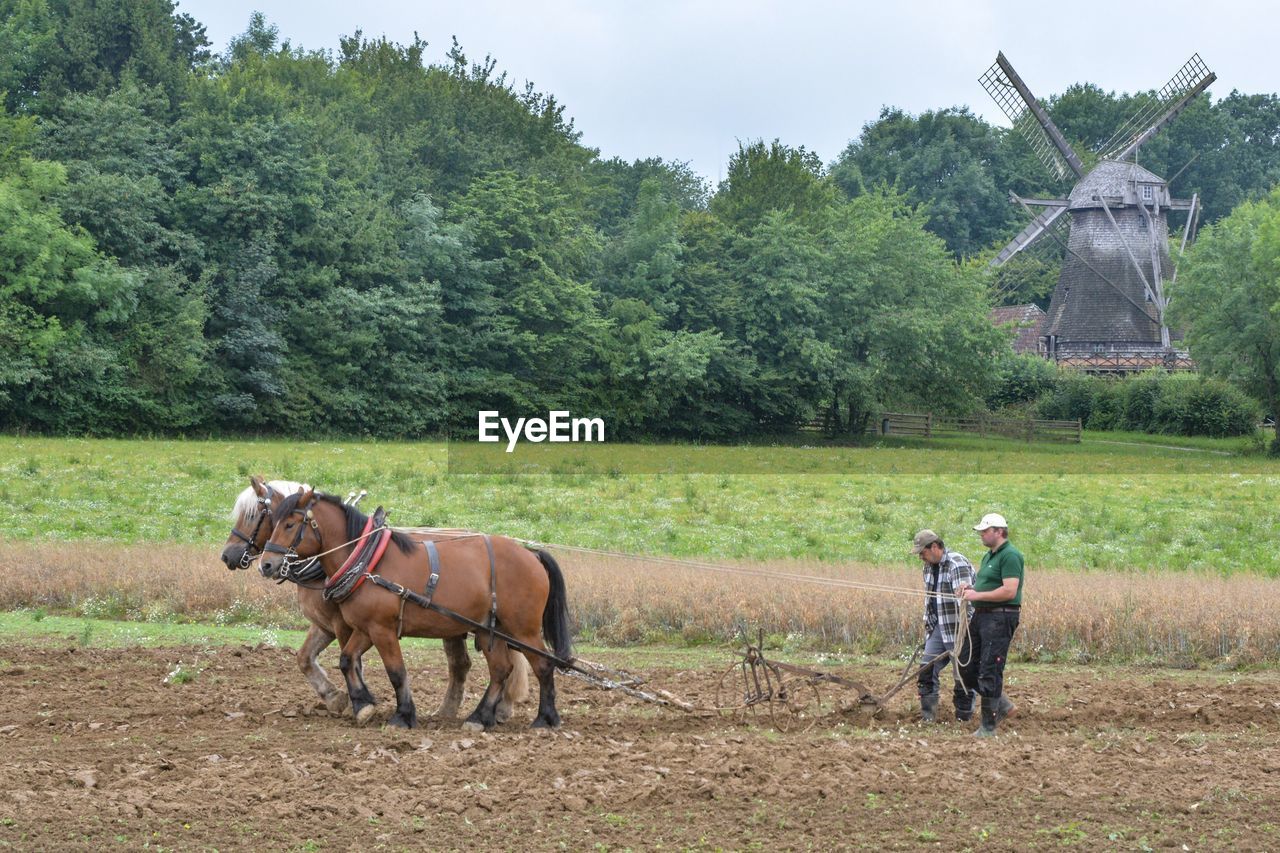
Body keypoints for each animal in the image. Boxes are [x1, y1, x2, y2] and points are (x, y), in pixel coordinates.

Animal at [220, 473, 524, 722]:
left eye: (253, 514)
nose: (228, 555)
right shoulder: (325, 625)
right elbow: (305, 658)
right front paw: (336, 698)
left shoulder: (346, 625)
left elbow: (353, 661)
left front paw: (358, 701)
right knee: (466, 664)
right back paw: (458, 710)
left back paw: (494, 709)